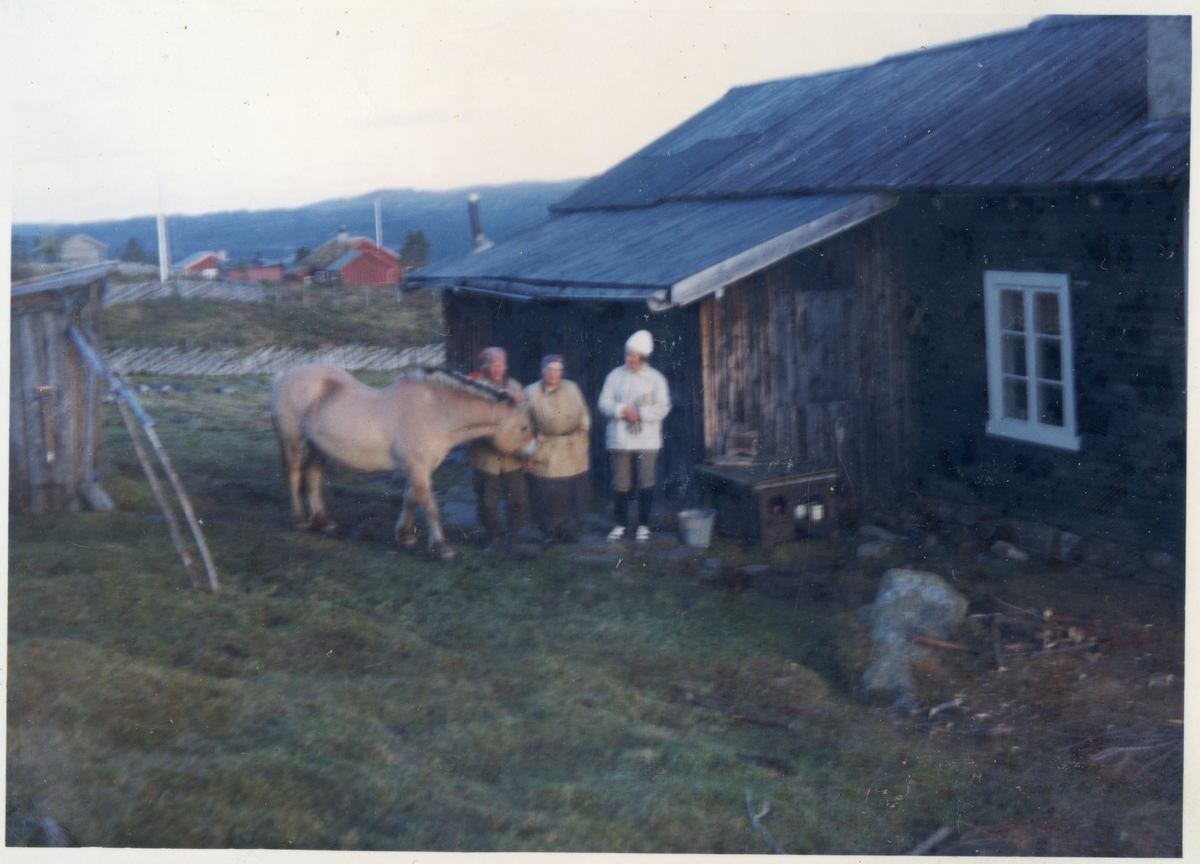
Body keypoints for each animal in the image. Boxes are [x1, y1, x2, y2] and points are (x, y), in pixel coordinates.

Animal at [274, 367, 537, 559]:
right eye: (524, 428)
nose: (533, 454)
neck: (435, 413)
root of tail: (285, 375)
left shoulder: (419, 468)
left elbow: (411, 499)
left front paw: (405, 536)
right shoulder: (418, 468)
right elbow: (430, 506)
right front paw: (442, 548)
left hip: (318, 448)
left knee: (312, 476)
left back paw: (324, 522)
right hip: (293, 441)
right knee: (295, 476)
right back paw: (299, 520)